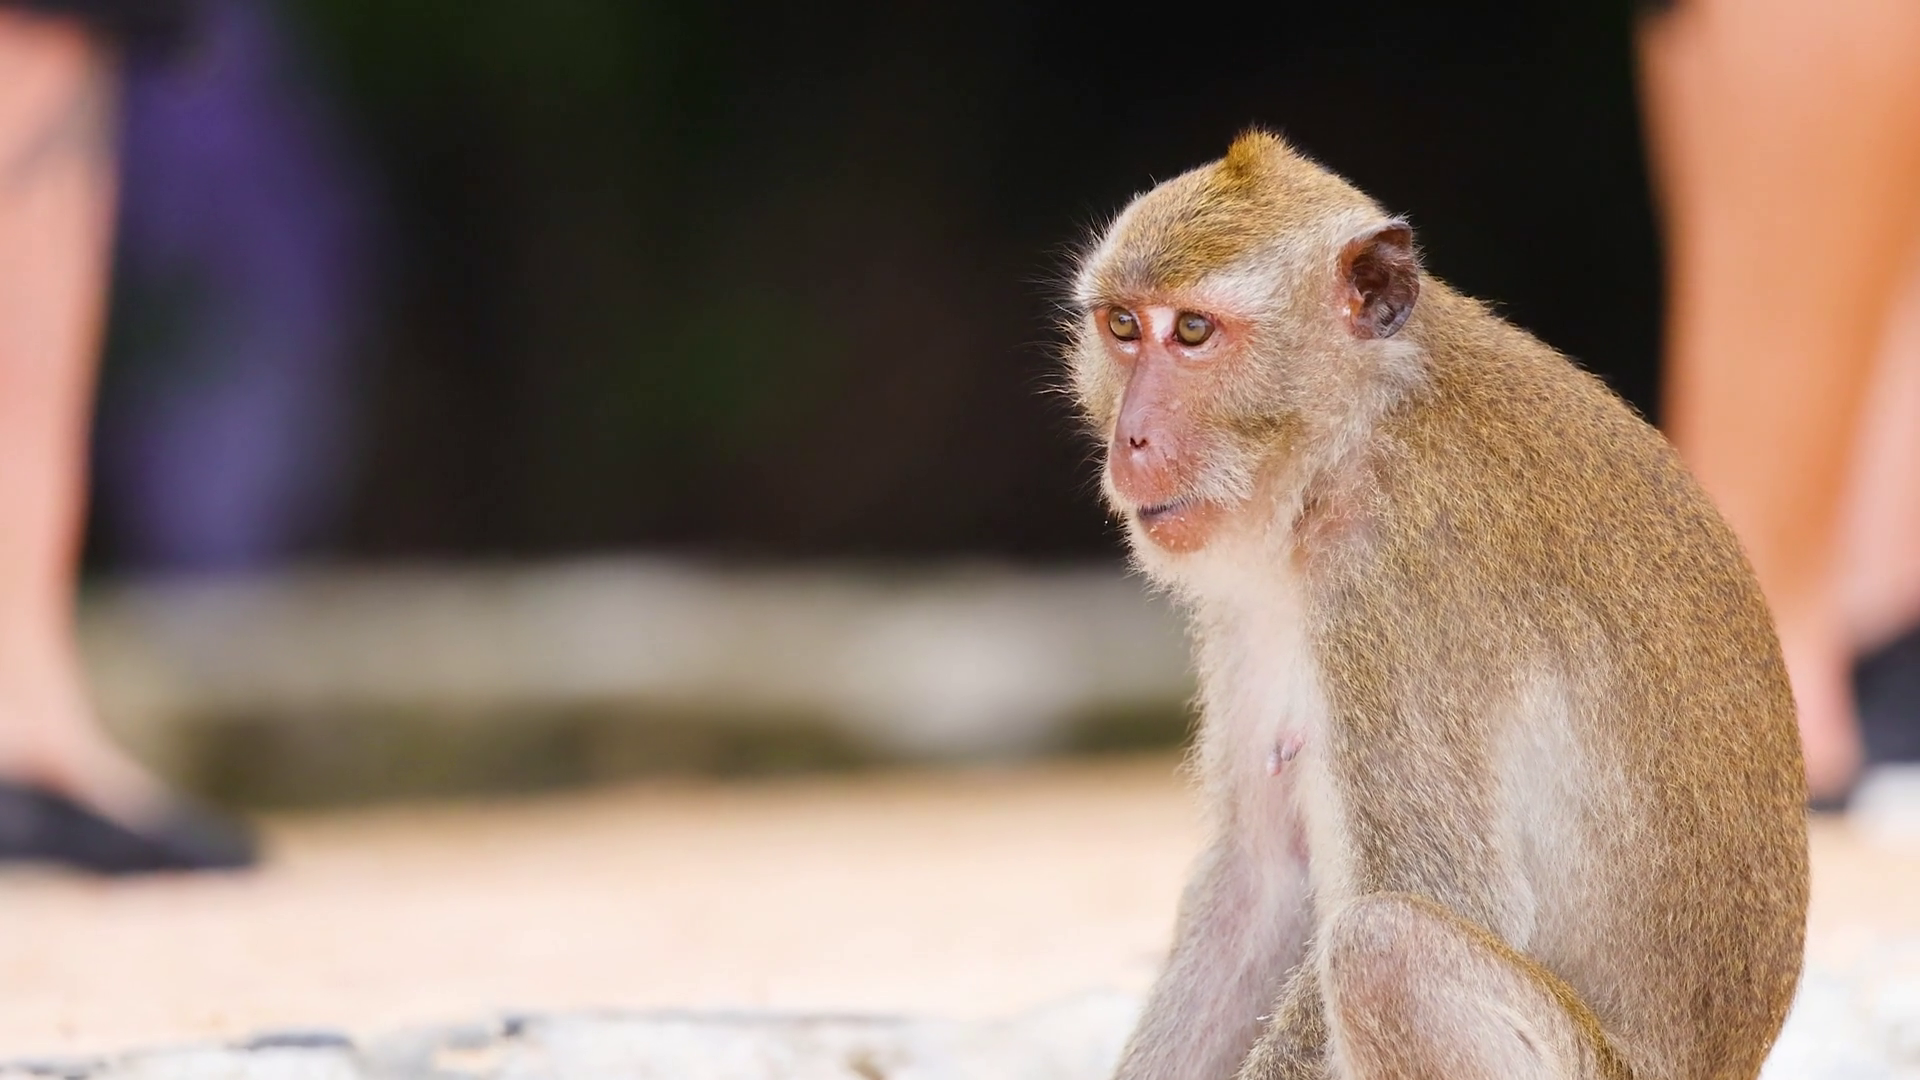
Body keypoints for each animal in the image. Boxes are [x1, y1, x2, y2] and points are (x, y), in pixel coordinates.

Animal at [1063, 131, 1809, 1080]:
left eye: (1192, 331)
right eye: (1123, 326)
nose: (1132, 439)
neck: (1347, 442)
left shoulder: (1401, 575)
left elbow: (1431, 888)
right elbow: (1256, 885)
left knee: (1383, 950)